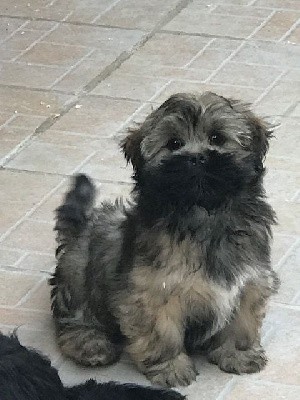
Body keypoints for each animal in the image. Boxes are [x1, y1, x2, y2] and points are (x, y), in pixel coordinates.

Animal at [51, 91, 278, 388]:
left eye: (216, 138)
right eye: (174, 144)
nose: (197, 158)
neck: (202, 214)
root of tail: (80, 230)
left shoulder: (250, 279)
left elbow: (242, 320)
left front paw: (238, 354)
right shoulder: (153, 290)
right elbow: (162, 331)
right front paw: (171, 367)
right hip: (80, 269)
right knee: (74, 318)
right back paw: (91, 344)